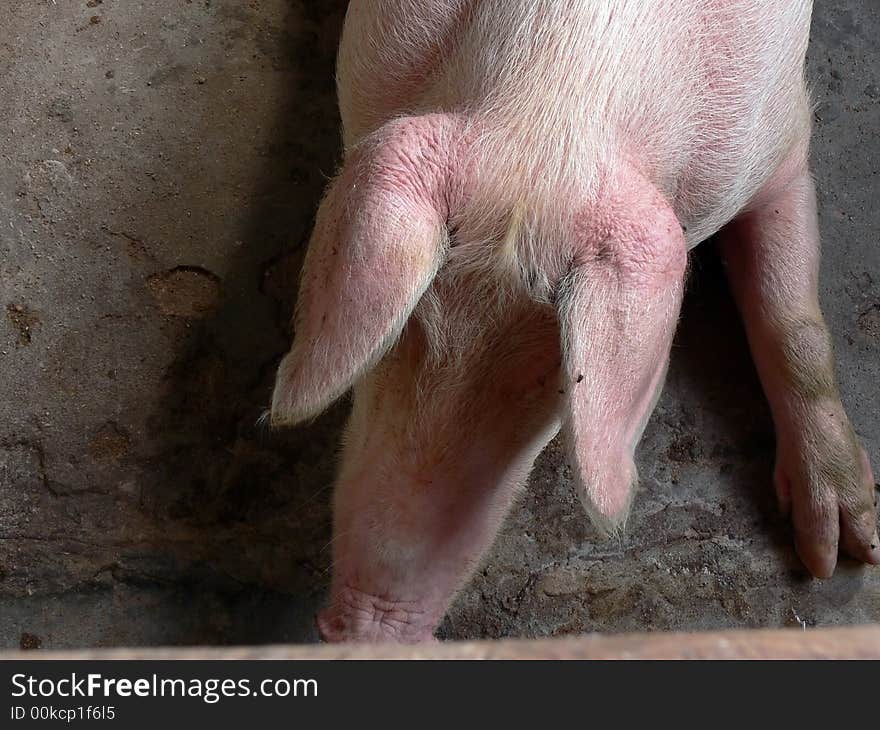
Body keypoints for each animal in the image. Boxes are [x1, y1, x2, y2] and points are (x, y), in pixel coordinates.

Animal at [272, 0, 876, 640]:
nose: (369, 626)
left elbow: (792, 318)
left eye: (553, 380)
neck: (559, 99)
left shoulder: (780, 139)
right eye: (401, 334)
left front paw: (839, 553)